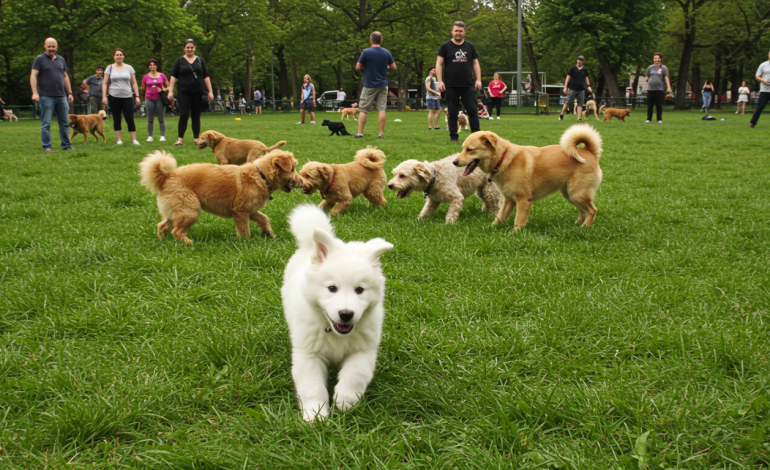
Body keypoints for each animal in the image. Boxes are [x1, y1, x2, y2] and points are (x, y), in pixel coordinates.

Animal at [140, 150, 302, 246]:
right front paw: (247, 243)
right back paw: (189, 243)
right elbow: (245, 230)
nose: (302, 181)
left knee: (162, 225)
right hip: (190, 210)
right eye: (293, 168)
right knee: (176, 231)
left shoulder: (251, 211)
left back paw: (163, 241)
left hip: (175, 210)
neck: (262, 176)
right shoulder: (240, 211)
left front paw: (270, 234)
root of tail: (166, 177)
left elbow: (264, 219)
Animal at [280, 205, 392, 422]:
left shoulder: (363, 350)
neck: (335, 333)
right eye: (332, 288)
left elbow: (355, 374)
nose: (346, 314)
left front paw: (345, 401)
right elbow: (312, 386)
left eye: (360, 290)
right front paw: (315, 414)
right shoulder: (308, 354)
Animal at [452, 123, 604, 231]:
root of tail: (589, 151)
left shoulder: (523, 200)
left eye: (469, 150)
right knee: (583, 211)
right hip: (570, 194)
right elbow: (500, 217)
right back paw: (577, 225)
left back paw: (584, 227)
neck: (503, 158)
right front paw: (489, 228)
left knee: (592, 210)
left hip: (577, 194)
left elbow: (518, 220)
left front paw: (514, 234)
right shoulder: (509, 200)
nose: (454, 162)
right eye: (463, 148)